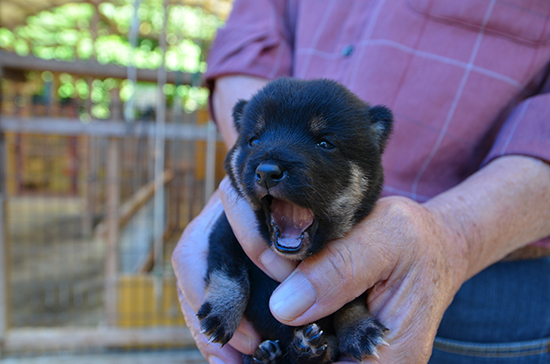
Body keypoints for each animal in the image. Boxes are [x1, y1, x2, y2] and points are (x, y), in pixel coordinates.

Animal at [201, 79, 394, 364]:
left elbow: (350, 300)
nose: (266, 172)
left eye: (324, 143)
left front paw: (360, 328)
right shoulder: (225, 233)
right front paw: (220, 312)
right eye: (254, 140)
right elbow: (229, 274)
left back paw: (306, 348)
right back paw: (265, 354)